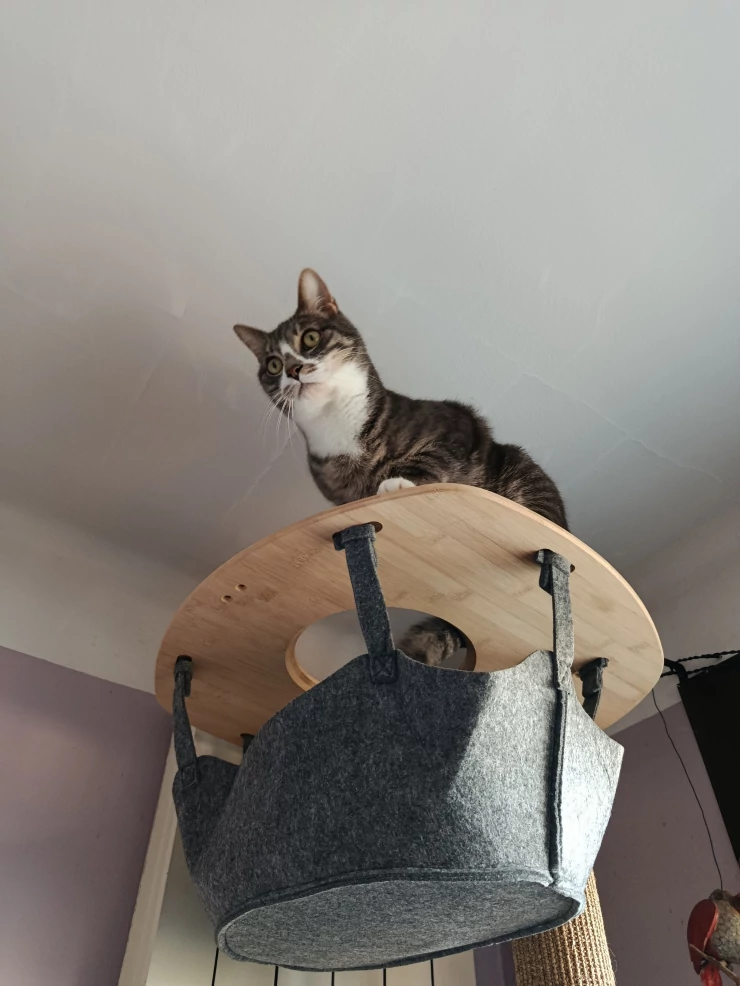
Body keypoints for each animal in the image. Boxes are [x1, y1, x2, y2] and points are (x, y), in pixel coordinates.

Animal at [235, 269, 568, 666]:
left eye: (310, 338)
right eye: (272, 364)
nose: (293, 369)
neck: (336, 425)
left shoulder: (455, 428)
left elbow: (427, 459)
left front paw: (395, 483)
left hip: (522, 475)